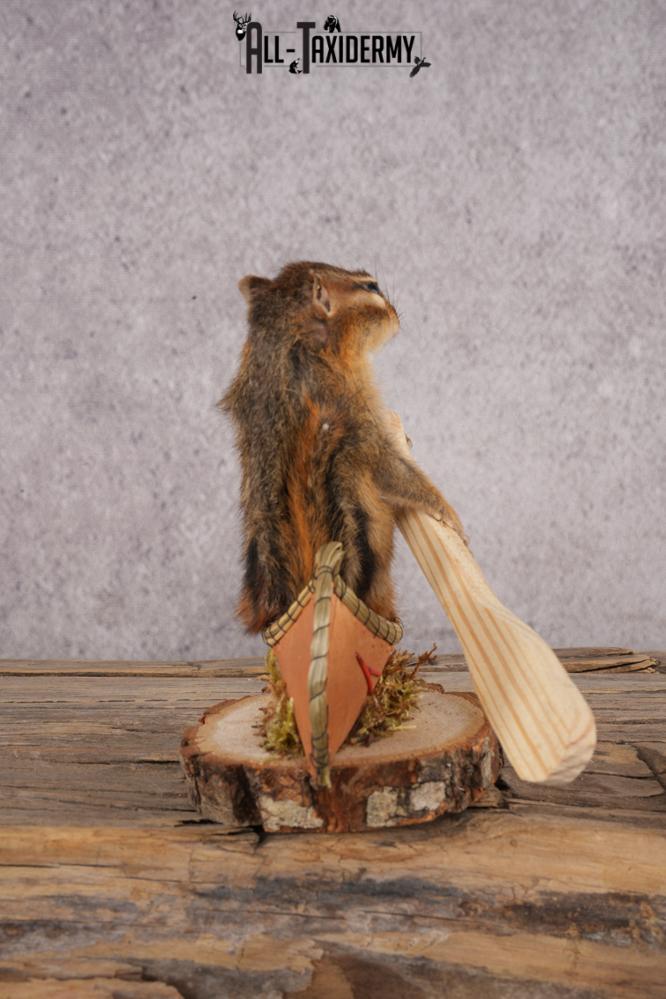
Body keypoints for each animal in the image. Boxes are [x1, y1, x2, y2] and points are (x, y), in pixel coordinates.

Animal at [219, 260, 467, 633]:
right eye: (371, 288)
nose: (395, 313)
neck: (286, 348)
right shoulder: (359, 414)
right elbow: (393, 471)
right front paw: (449, 515)